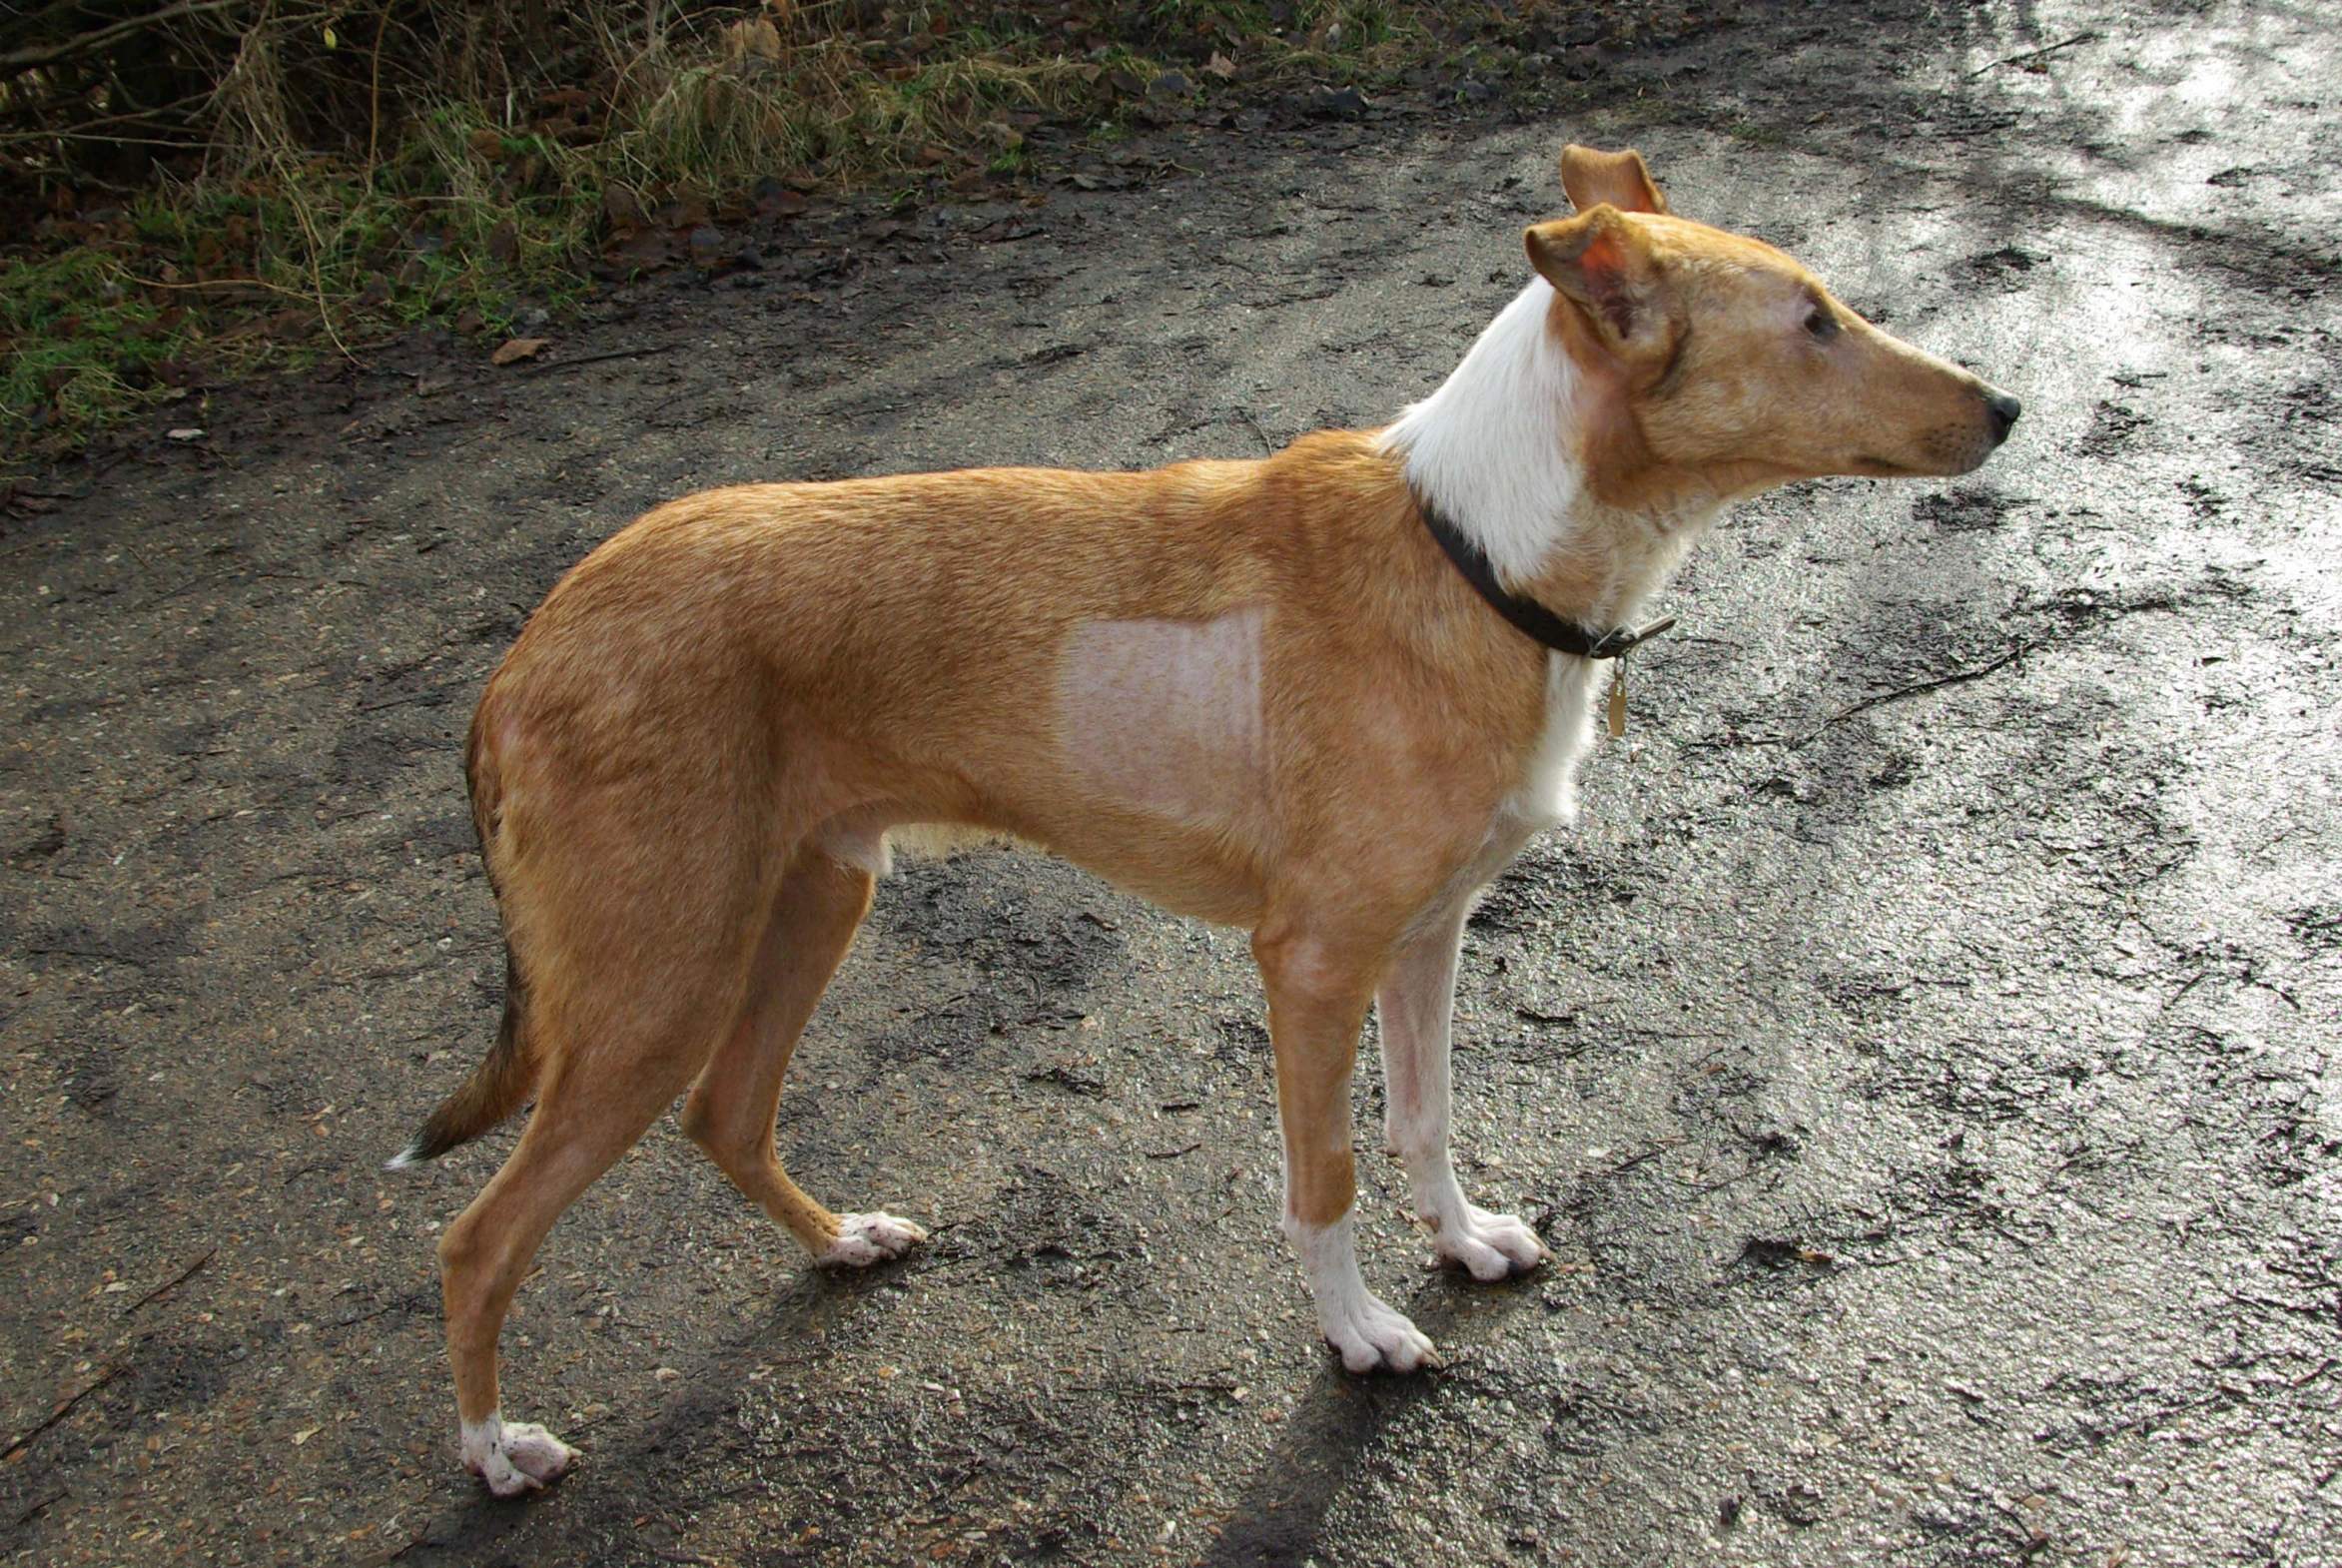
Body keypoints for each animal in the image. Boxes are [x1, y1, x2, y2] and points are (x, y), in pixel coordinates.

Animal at [384, 147, 2013, 1497]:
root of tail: (525, 650)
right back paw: (495, 1449)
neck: (1475, 549)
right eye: (1810, 321)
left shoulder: (1430, 933)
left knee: (726, 1114)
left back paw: (841, 1242)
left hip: (809, 902)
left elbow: (1424, 1119)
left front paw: (1464, 1242)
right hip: (654, 984)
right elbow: (1327, 1176)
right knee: (473, 1240)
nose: (2005, 407)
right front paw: (1360, 1335)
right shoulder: (1311, 961)